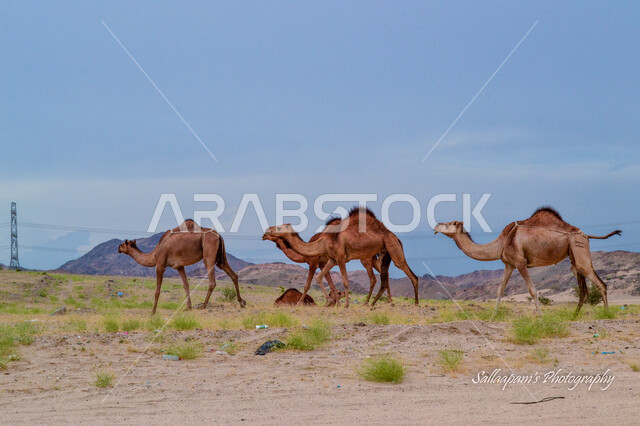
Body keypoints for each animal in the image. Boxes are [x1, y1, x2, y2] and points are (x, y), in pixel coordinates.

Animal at [263, 207, 419, 308]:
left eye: (279, 228)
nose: (265, 232)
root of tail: (395, 236)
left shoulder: (335, 258)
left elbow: (343, 282)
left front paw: (344, 304)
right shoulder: (331, 260)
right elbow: (322, 279)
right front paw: (333, 302)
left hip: (391, 249)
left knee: (408, 273)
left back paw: (415, 303)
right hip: (384, 254)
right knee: (384, 279)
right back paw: (372, 303)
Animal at [434, 207, 621, 316]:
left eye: (451, 223)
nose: (436, 226)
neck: (501, 242)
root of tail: (586, 235)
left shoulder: (520, 262)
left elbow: (532, 290)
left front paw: (540, 317)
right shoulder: (509, 264)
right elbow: (500, 290)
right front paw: (493, 316)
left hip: (579, 247)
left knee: (600, 283)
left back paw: (607, 314)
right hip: (574, 256)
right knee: (583, 287)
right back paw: (574, 316)